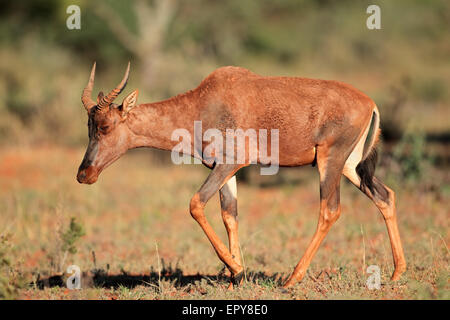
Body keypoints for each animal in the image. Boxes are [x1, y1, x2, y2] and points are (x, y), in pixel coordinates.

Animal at [78, 62, 408, 288]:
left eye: (106, 126)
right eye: (89, 126)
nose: (84, 174)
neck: (205, 102)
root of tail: (370, 104)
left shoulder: (231, 162)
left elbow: (195, 204)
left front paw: (236, 270)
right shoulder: (224, 169)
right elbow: (229, 214)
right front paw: (236, 275)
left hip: (331, 161)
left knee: (330, 210)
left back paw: (292, 278)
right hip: (352, 166)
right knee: (386, 196)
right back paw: (396, 272)